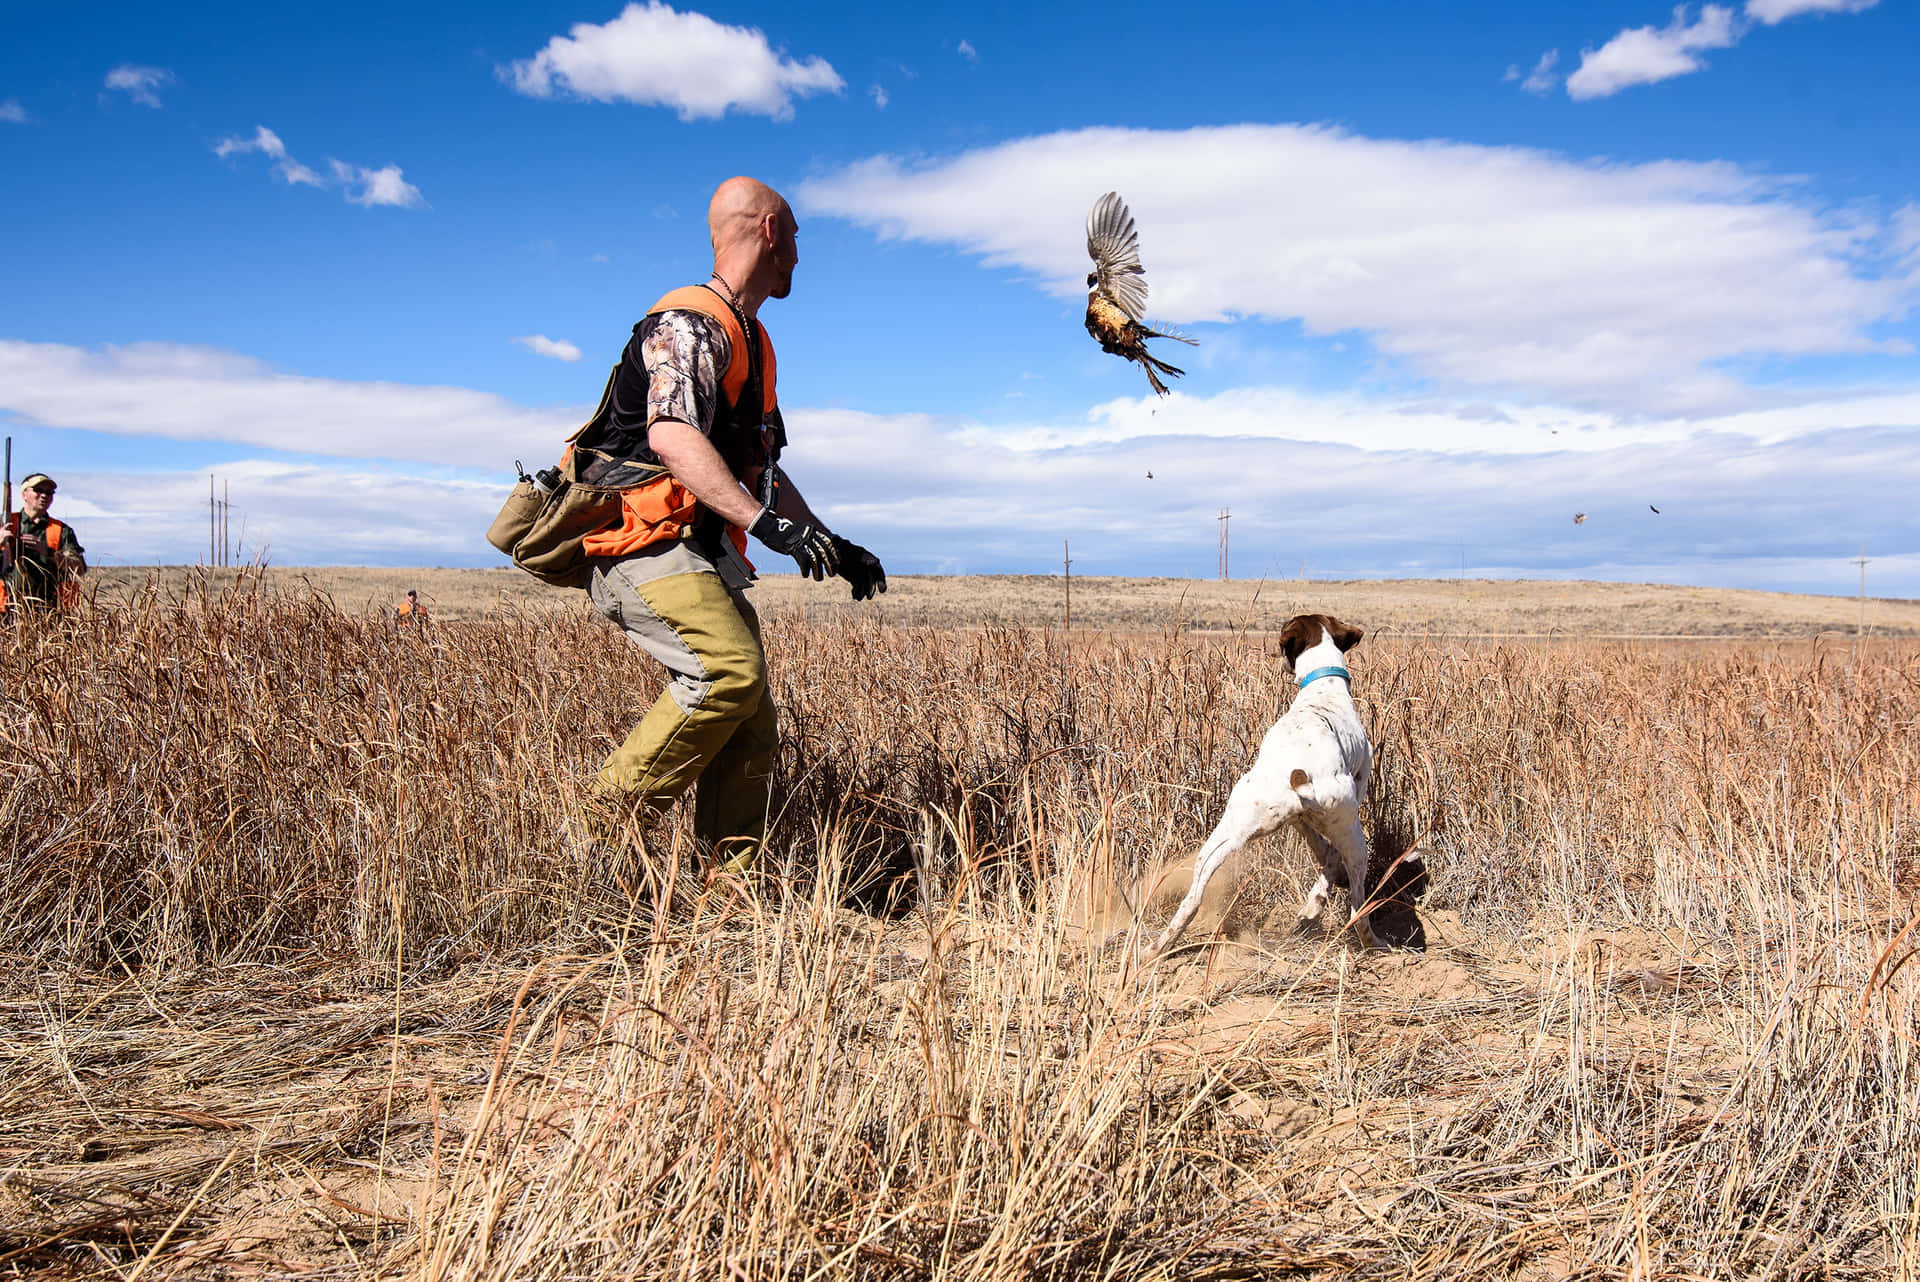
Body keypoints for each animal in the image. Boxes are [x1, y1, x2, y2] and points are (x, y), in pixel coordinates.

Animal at [1136, 614, 1397, 967]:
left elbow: (1323, 854)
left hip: (1223, 838)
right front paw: (1315, 904)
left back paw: (1157, 947)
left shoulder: (1300, 820)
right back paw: (1372, 941)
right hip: (1354, 839)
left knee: (1192, 900)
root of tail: (1297, 773)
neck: (1324, 686)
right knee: (1358, 909)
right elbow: (1329, 864)